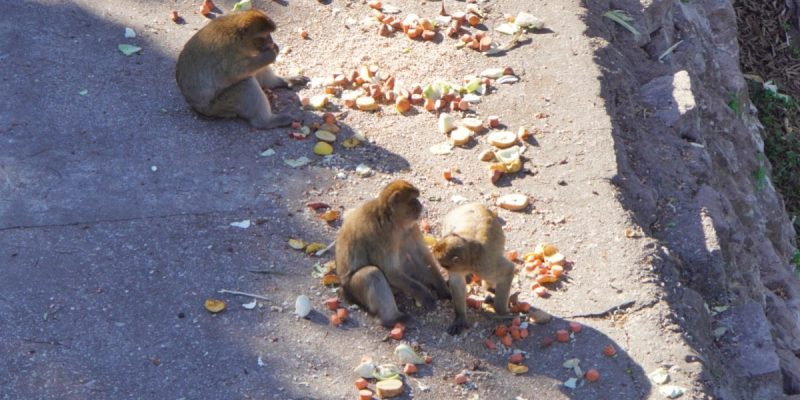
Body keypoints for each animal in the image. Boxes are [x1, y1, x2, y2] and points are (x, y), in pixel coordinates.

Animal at [175, 9, 304, 129]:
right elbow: (236, 72)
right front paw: (271, 53)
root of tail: (198, 108)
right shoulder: (228, 52)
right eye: (265, 35)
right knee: (247, 83)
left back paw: (278, 82)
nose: (271, 41)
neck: (238, 36)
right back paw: (267, 121)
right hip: (221, 106)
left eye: (270, 34)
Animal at [336, 180, 454, 326]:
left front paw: (443, 289)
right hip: (353, 291)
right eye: (412, 199)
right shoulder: (379, 235)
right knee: (371, 273)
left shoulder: (411, 227)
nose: (420, 205)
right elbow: (390, 271)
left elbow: (421, 257)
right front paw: (426, 296)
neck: (392, 222)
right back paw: (393, 319)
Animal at [434, 203, 516, 334]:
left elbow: (508, 271)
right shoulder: (458, 268)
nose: (445, 270)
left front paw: (501, 313)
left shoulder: (485, 265)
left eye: (444, 265)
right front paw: (460, 318)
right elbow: (457, 284)